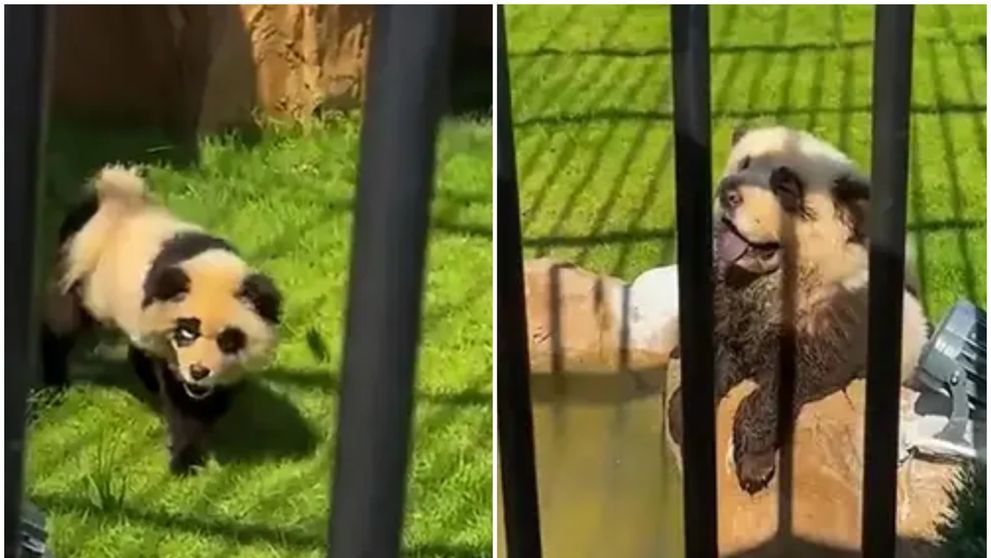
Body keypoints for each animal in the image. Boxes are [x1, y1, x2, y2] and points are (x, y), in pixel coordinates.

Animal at [41, 165, 282, 475]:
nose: (198, 372)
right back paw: (54, 385)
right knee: (61, 325)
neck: (210, 264)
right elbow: (182, 403)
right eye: (187, 331)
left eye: (228, 339)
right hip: (81, 274)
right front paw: (187, 459)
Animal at [667, 126, 929, 494]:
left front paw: (755, 462)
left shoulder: (839, 315)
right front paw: (684, 416)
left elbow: (789, 380)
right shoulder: (731, 305)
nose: (728, 193)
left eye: (785, 187)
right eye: (743, 163)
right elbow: (714, 349)